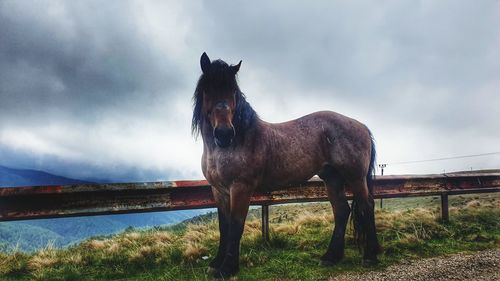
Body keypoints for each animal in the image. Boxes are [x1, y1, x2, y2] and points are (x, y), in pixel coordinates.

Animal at [193, 52, 380, 276]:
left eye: (233, 91)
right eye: (208, 89)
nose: (224, 133)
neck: (239, 139)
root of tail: (362, 126)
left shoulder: (240, 188)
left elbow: (236, 226)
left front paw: (228, 268)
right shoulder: (218, 190)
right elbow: (224, 226)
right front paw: (216, 263)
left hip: (355, 177)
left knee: (366, 206)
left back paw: (370, 256)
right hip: (332, 178)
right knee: (342, 210)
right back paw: (331, 257)